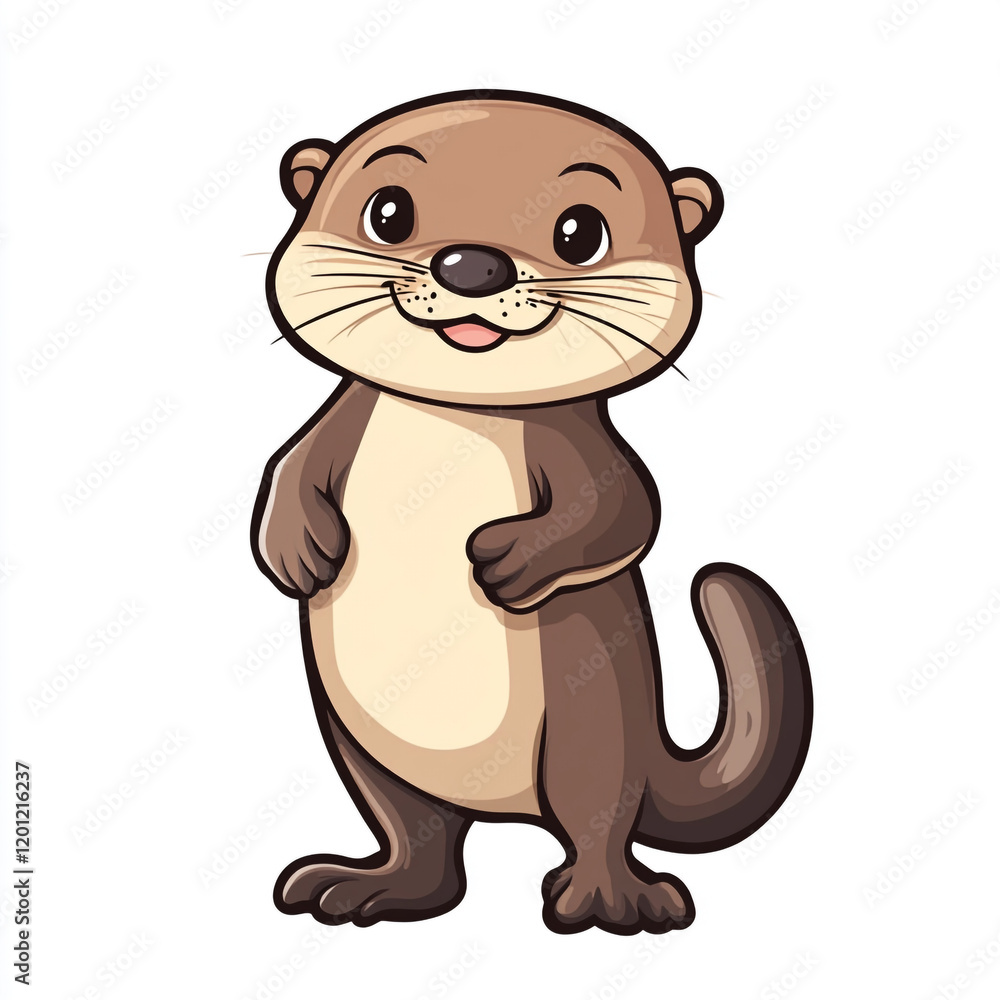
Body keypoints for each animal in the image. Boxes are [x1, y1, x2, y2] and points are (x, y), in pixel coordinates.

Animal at [250, 90, 812, 935]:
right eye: (388, 212)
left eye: (580, 231)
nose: (471, 264)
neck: (455, 415)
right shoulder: (343, 418)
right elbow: (290, 464)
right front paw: (295, 550)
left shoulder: (584, 447)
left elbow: (623, 511)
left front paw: (508, 561)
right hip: (364, 742)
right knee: (421, 838)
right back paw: (365, 888)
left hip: (591, 716)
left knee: (596, 816)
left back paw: (611, 901)